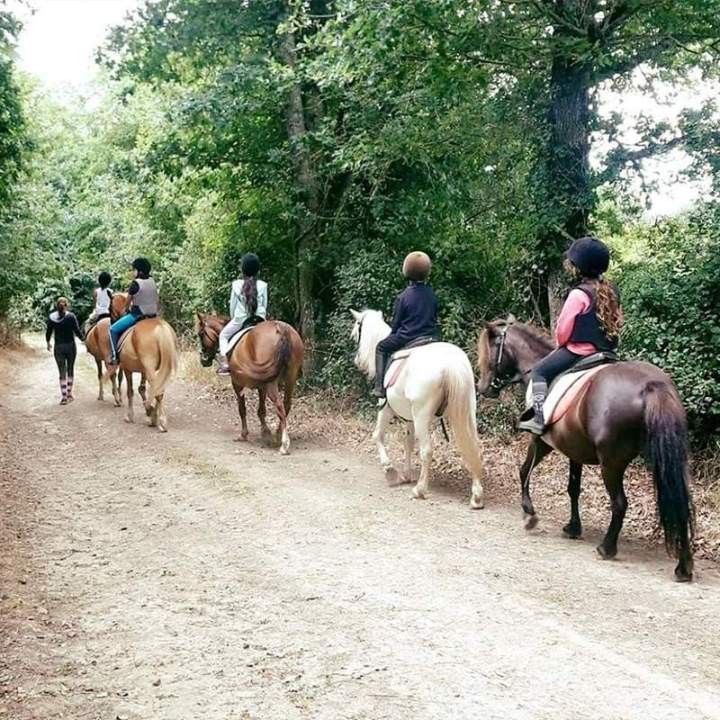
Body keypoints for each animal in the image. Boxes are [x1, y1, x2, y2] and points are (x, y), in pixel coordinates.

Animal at [195, 313, 304, 455]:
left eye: (201, 334)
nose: (203, 360)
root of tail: (281, 328)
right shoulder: (262, 385)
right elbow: (261, 410)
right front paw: (265, 432)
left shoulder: (237, 383)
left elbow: (242, 408)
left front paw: (244, 434)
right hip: (290, 377)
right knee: (286, 404)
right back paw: (278, 434)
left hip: (272, 382)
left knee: (280, 406)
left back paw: (284, 444)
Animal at [351, 309, 487, 508]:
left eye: (355, 334)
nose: (358, 361)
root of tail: (449, 364)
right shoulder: (410, 418)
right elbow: (408, 443)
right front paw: (407, 474)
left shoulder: (385, 408)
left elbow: (377, 436)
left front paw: (390, 470)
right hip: (467, 412)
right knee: (473, 447)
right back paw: (476, 496)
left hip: (422, 416)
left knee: (427, 450)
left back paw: (420, 489)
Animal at [476, 316, 694, 581]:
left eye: (490, 349)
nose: (482, 387)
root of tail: (653, 384)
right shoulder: (573, 449)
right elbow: (573, 488)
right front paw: (573, 527)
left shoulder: (541, 441)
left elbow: (524, 470)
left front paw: (529, 514)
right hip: (666, 461)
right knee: (680, 502)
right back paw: (684, 566)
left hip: (611, 462)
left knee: (620, 503)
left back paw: (607, 548)